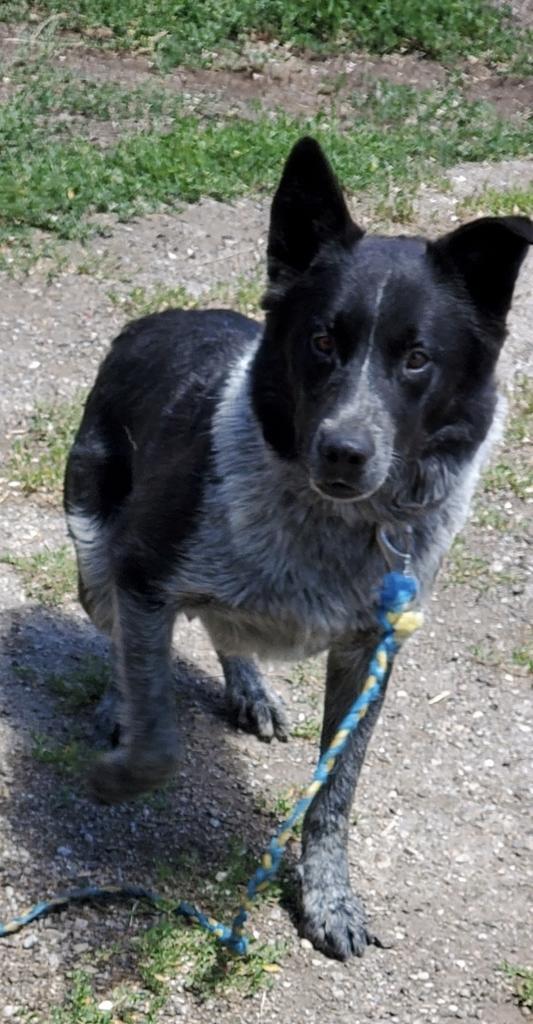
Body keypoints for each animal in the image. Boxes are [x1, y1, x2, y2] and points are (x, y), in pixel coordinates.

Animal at [63, 138, 531, 958]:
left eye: (417, 358)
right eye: (320, 342)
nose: (344, 450)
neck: (336, 524)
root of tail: (153, 320)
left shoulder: (372, 647)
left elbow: (336, 791)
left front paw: (328, 897)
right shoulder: (144, 574)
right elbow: (157, 735)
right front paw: (119, 772)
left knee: (227, 634)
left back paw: (250, 688)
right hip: (92, 550)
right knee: (122, 634)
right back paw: (124, 702)